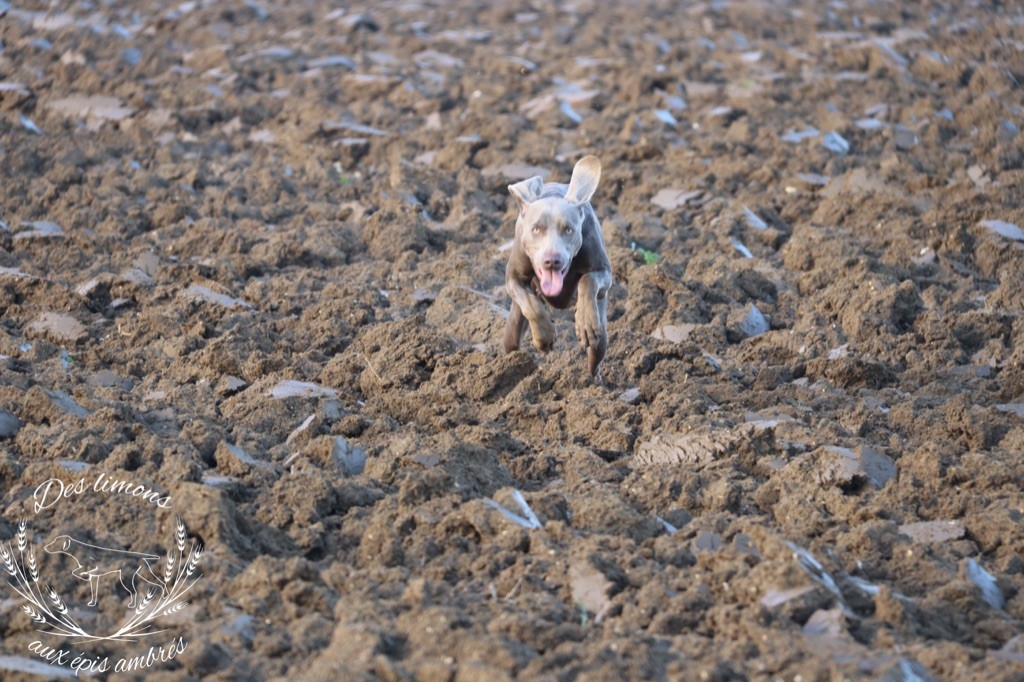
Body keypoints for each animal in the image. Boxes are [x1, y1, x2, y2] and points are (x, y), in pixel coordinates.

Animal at [501, 157, 610, 378]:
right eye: (536, 229)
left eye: (569, 229)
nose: (552, 260)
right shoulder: (513, 278)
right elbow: (530, 304)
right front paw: (544, 336)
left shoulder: (605, 271)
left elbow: (588, 279)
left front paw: (585, 322)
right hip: (513, 329)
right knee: (512, 342)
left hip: (601, 334)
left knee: (596, 356)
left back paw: (595, 380)